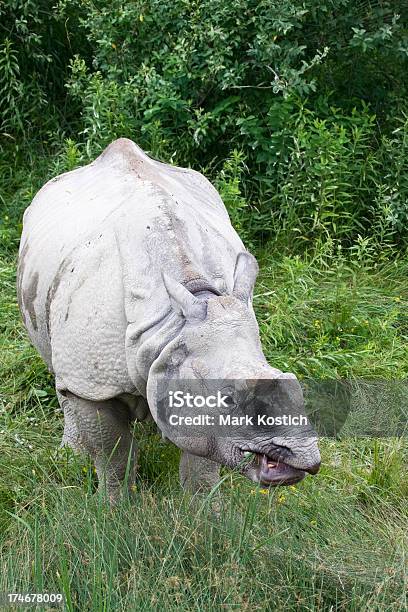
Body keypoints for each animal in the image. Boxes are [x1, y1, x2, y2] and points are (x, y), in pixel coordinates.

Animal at [17, 140, 320, 502]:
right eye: (229, 399)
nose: (305, 457)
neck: (172, 326)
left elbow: (201, 465)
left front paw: (206, 514)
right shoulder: (94, 381)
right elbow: (113, 456)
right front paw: (115, 508)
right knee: (60, 373)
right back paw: (72, 453)